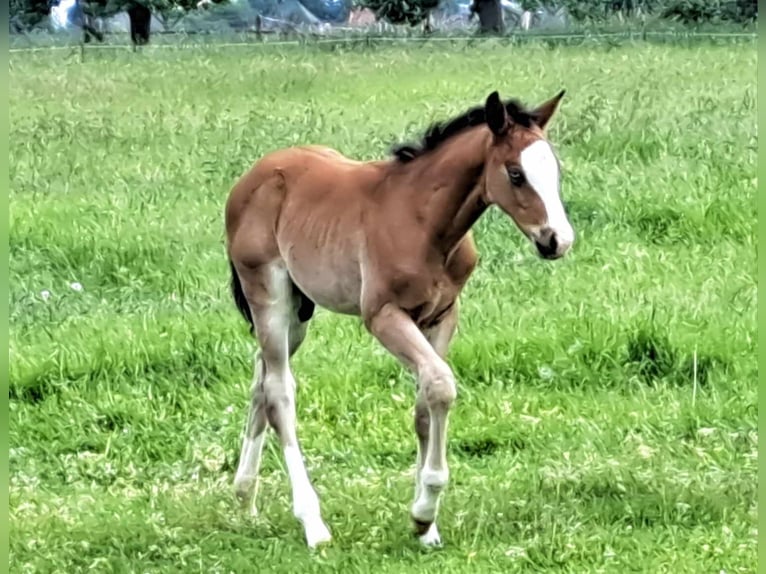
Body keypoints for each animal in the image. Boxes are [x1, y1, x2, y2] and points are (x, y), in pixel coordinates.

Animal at [225, 89, 580, 548]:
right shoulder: (383, 315)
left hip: (299, 309)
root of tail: (251, 178)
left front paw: (425, 526)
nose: (558, 240)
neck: (424, 221)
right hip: (268, 293)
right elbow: (442, 385)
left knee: (261, 376)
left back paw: (244, 497)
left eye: (555, 169)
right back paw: (312, 522)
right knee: (280, 389)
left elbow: (426, 402)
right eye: (516, 174)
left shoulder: (442, 315)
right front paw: (425, 507)